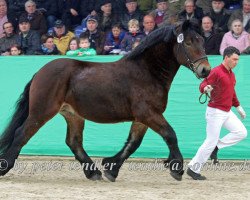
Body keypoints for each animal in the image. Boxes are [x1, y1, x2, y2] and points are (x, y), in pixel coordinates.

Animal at [0, 19, 211, 181]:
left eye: (202, 40)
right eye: (189, 43)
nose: (205, 70)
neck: (146, 72)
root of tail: (40, 72)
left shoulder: (142, 118)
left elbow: (132, 144)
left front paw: (111, 168)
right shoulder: (148, 113)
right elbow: (170, 135)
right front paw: (177, 169)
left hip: (72, 114)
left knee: (74, 142)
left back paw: (93, 172)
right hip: (42, 111)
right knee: (21, 133)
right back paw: (4, 166)